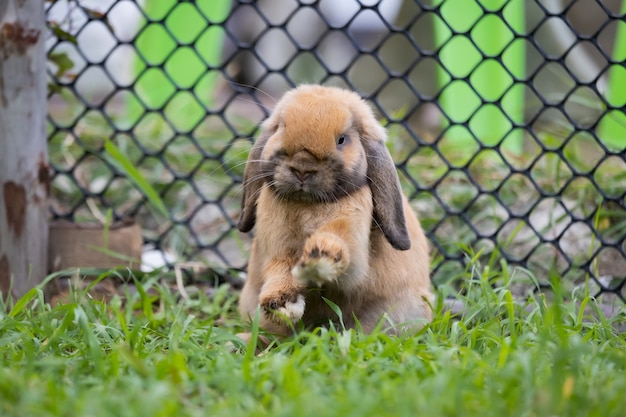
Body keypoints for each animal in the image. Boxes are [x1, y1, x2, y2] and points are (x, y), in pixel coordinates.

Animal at [236, 84, 432, 338]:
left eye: (341, 140)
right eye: (281, 128)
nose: (303, 168)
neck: (308, 204)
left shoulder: (353, 241)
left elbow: (341, 251)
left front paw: (319, 258)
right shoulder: (278, 248)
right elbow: (280, 270)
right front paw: (279, 303)